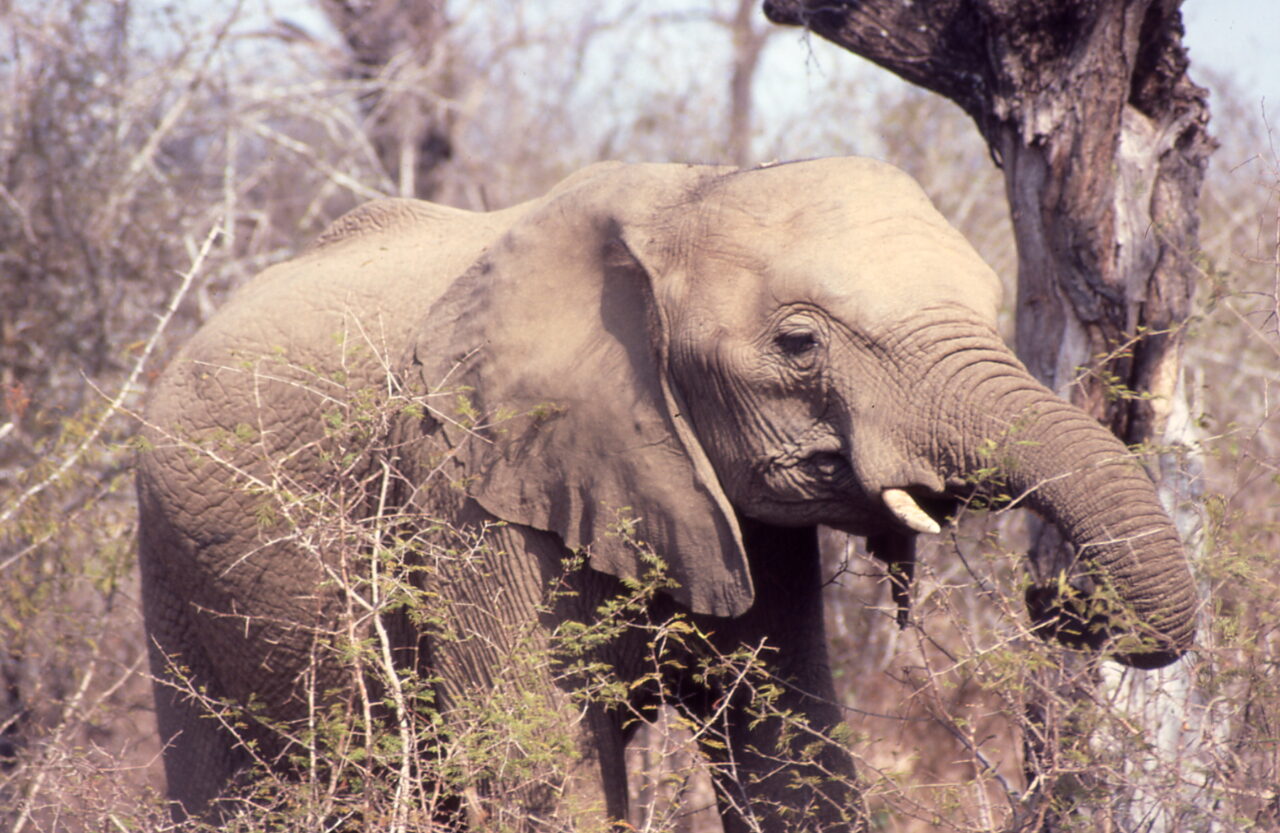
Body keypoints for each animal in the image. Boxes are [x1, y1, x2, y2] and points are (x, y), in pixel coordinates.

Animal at [135, 157, 1198, 831]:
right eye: (799, 342)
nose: (1056, 595)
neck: (679, 201)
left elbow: (789, 749)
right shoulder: (463, 489)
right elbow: (543, 762)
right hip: (170, 558)